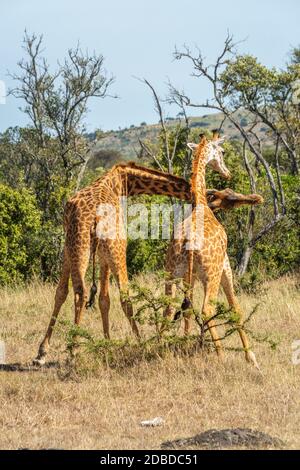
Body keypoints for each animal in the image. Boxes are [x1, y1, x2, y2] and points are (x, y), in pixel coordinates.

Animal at [163, 132, 258, 368]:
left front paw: (190, 344)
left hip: (172, 274)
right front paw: (250, 356)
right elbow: (235, 307)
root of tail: (187, 243)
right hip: (211, 275)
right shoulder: (225, 266)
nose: (227, 173)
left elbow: (187, 311)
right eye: (222, 151)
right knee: (207, 309)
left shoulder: (189, 277)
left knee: (170, 309)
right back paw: (221, 355)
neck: (201, 205)